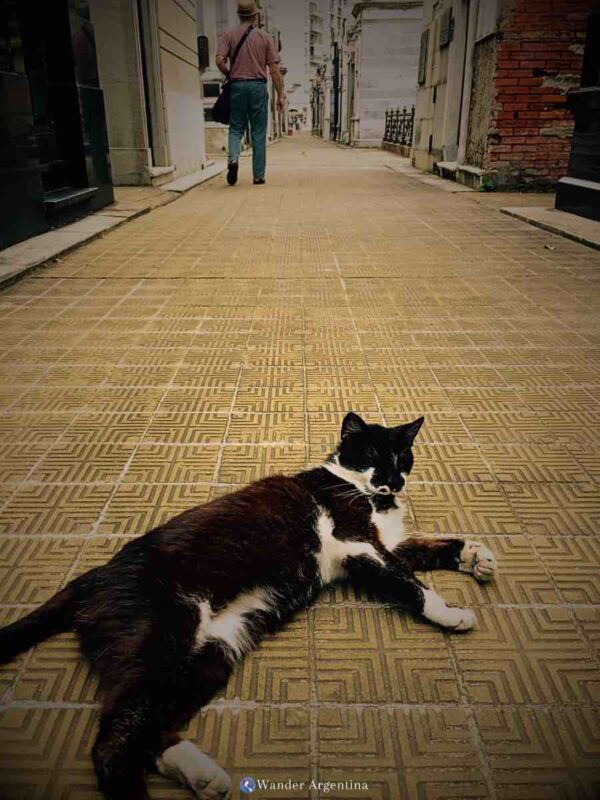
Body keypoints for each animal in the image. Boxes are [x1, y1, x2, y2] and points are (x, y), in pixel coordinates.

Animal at [0, 412, 496, 800]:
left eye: (401, 458)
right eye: (372, 455)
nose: (392, 482)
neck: (367, 495)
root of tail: (93, 576)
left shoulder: (388, 543)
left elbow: (432, 547)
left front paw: (476, 556)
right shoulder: (358, 544)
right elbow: (409, 583)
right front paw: (452, 613)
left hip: (211, 654)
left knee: (150, 730)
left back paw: (202, 776)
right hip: (160, 641)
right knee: (111, 742)